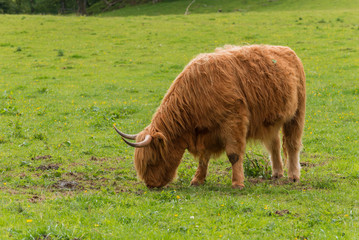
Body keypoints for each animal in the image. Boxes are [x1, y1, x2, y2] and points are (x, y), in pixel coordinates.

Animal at [114, 44, 306, 188]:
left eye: (153, 160)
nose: (150, 184)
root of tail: (287, 50)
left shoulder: (234, 121)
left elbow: (234, 154)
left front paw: (237, 183)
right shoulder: (204, 131)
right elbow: (203, 157)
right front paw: (197, 179)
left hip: (297, 114)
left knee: (292, 144)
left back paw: (293, 176)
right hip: (271, 121)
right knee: (274, 144)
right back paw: (277, 173)